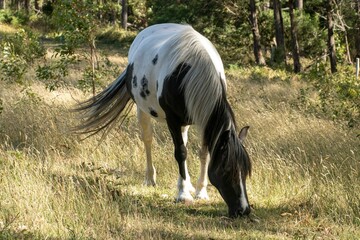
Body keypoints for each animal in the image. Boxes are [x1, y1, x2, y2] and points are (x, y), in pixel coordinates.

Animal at [75, 23, 252, 218]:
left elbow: (204, 154)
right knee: (148, 140)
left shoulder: (204, 122)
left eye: (245, 171)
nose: (243, 210)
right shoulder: (172, 120)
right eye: (227, 170)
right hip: (142, 110)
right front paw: (183, 195)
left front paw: (200, 192)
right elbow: (180, 153)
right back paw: (150, 179)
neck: (189, 71)